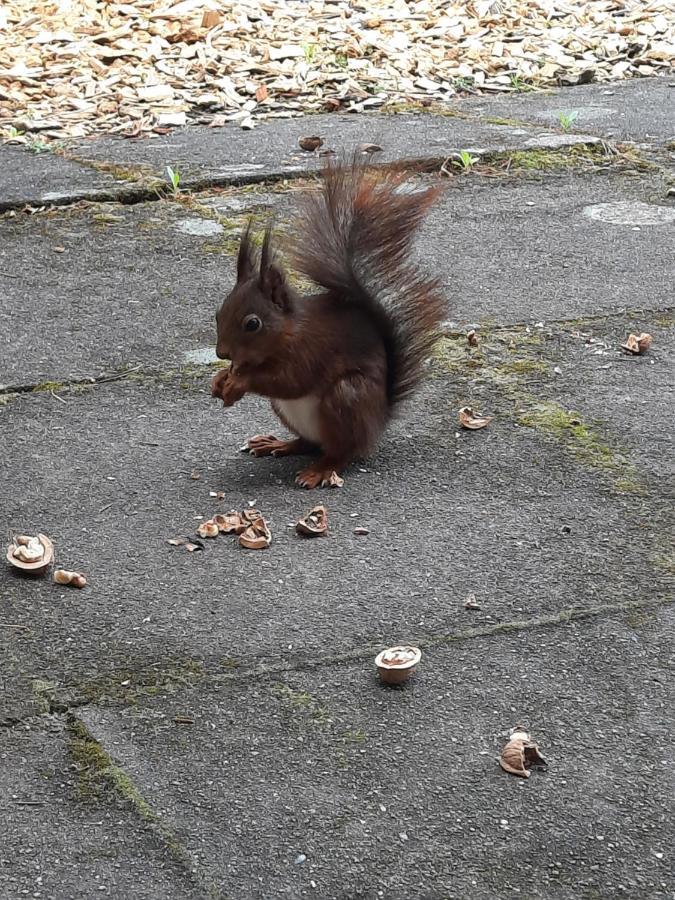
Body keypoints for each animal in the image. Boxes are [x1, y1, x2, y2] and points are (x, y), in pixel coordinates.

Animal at [211, 158, 444, 488]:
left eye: (252, 324)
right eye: (218, 314)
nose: (222, 353)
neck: (288, 333)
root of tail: (378, 423)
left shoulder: (311, 350)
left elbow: (290, 380)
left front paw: (240, 382)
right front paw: (220, 379)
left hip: (346, 398)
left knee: (341, 452)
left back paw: (320, 470)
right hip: (288, 413)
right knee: (309, 443)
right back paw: (279, 444)